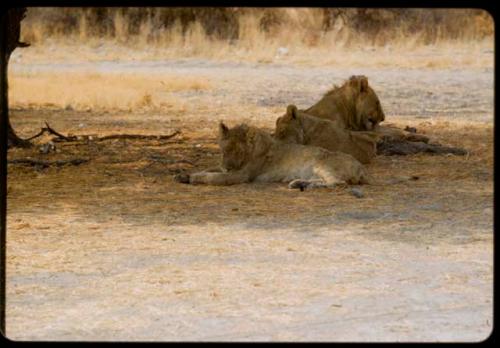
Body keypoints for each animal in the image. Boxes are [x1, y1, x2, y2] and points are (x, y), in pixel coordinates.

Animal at [174, 121, 374, 189]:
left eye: (238, 152)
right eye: (224, 150)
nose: (227, 167)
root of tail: (362, 169)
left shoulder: (241, 175)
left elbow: (212, 177)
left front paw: (193, 178)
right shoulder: (224, 167)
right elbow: (209, 168)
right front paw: (183, 175)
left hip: (322, 163)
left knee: (337, 183)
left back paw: (305, 186)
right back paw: (298, 183)